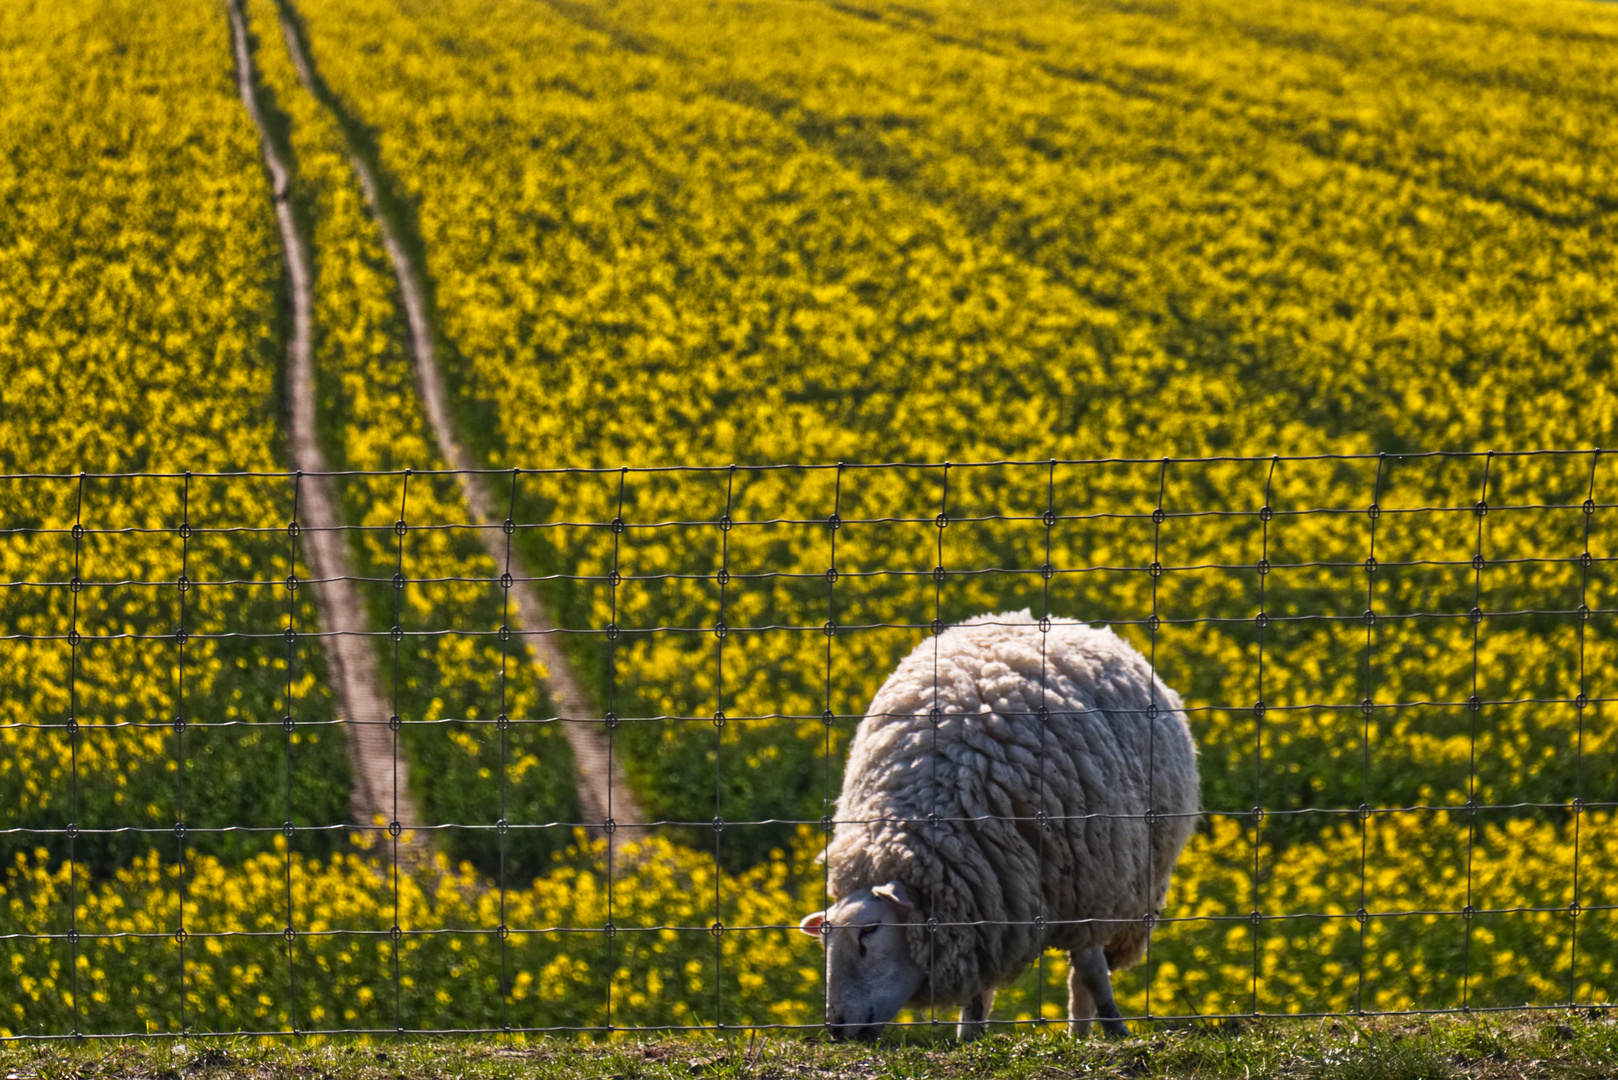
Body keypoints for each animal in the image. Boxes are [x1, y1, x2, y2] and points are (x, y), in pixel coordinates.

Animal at [799, 608, 1203, 1036]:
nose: (836, 1027)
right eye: (825, 940)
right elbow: (978, 992)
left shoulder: (1090, 890)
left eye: (870, 931)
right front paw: (969, 1037)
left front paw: (1113, 1029)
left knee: (1082, 976)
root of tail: (1038, 618)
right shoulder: (987, 906)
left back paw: (1082, 1032)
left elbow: (1091, 971)